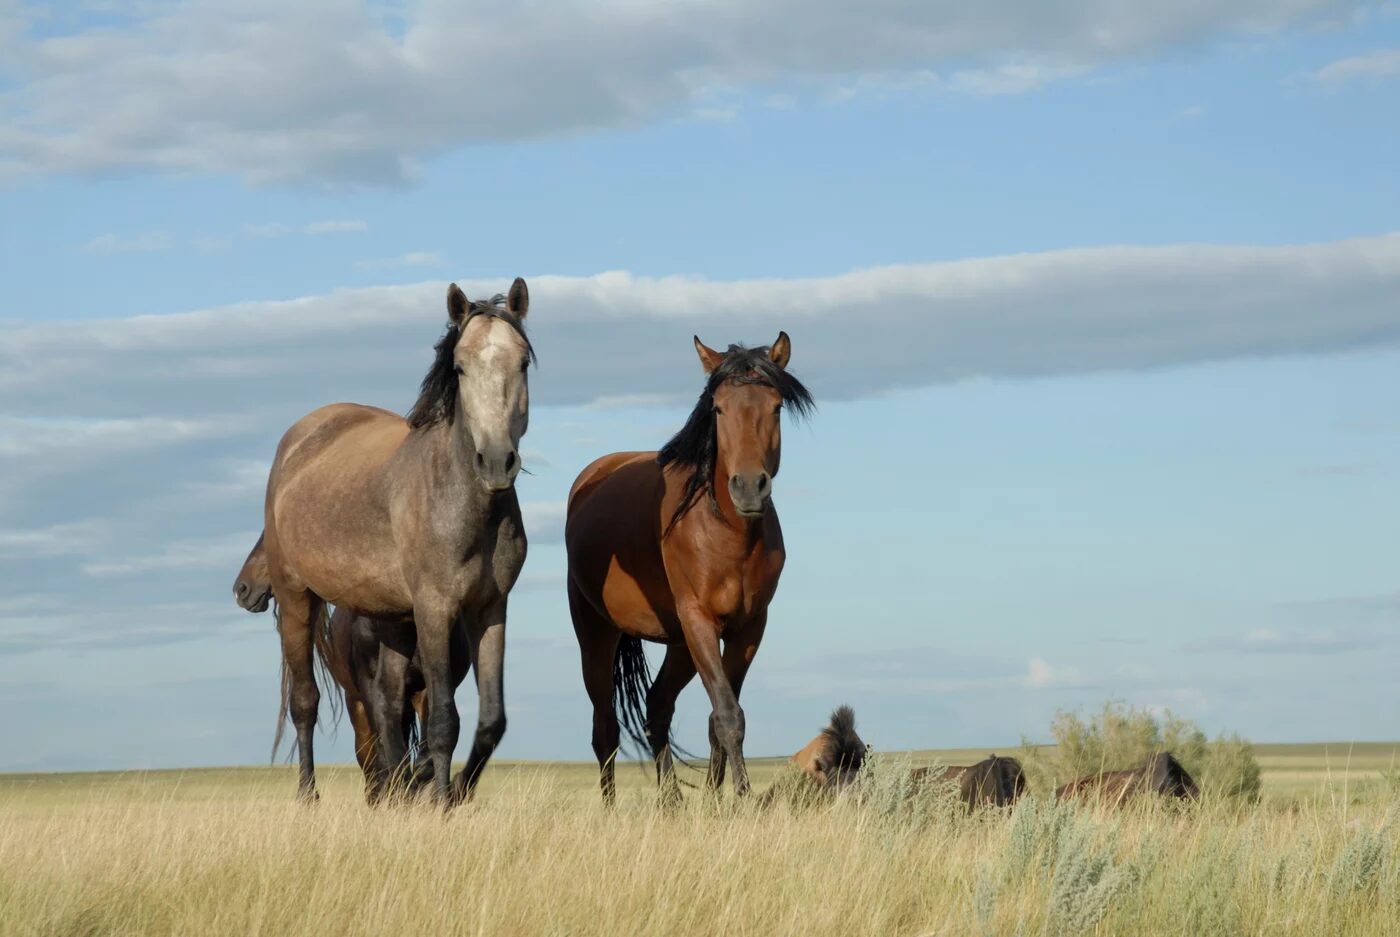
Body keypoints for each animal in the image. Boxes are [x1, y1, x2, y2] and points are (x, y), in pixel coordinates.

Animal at [260, 280, 533, 804]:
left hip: (389, 619)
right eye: (460, 367)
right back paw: (308, 797)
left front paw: (450, 789)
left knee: (388, 709)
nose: (497, 462)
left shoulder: (490, 607)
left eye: (523, 362)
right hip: (298, 596)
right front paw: (442, 802)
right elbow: (444, 720)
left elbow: (491, 720)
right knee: (306, 702)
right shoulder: (434, 607)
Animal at [564, 333, 813, 803]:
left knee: (657, 707)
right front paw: (743, 798)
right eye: (718, 409)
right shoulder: (699, 620)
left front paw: (718, 802)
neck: (727, 532)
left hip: (679, 643)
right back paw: (611, 808)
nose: (749, 487)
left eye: (775, 407)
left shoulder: (748, 627)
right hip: (598, 635)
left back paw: (672, 804)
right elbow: (729, 714)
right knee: (604, 728)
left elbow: (720, 718)